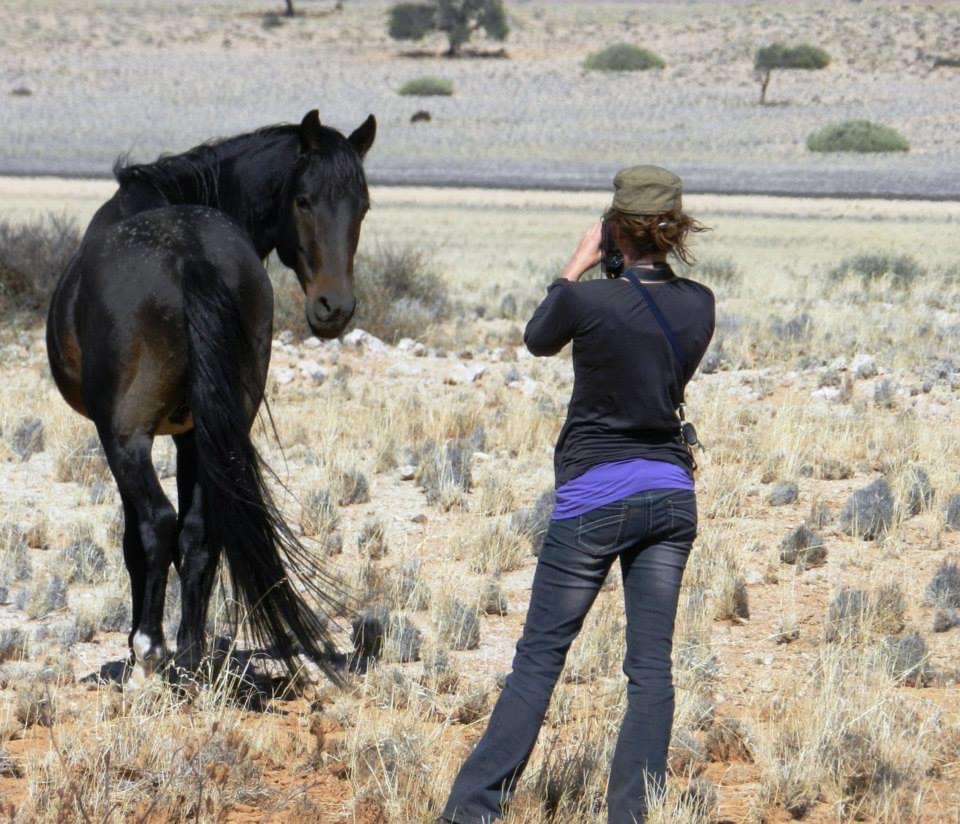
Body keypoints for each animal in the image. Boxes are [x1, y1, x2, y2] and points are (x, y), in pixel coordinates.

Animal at [46, 110, 376, 682]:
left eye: (362, 205)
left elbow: (136, 539)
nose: (333, 308)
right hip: (214, 429)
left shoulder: (132, 437)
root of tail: (189, 256)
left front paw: (140, 644)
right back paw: (190, 656)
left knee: (157, 523)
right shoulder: (192, 434)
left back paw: (152, 648)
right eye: (303, 200)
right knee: (199, 532)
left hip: (124, 438)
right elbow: (196, 538)